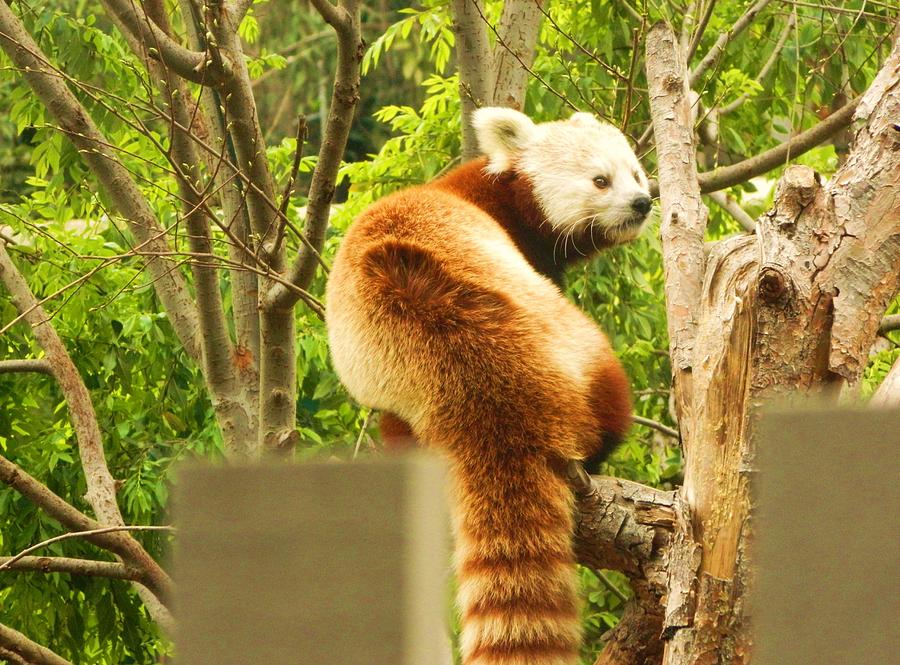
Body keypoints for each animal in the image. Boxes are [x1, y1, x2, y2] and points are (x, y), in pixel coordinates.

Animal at [326, 109, 652, 664]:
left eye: (635, 172)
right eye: (600, 180)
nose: (642, 202)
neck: (495, 193)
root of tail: (496, 404)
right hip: (573, 344)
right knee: (609, 393)